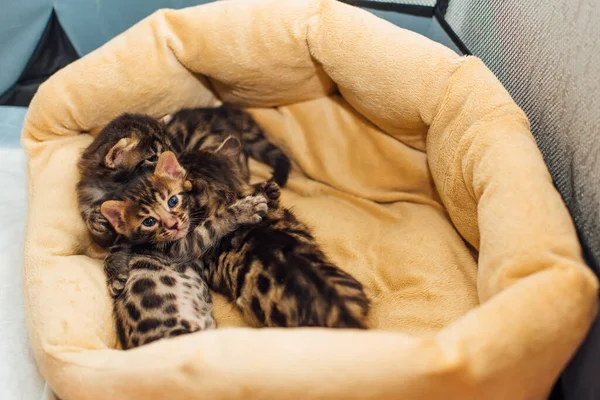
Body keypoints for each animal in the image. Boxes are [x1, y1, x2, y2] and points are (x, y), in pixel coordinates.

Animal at [101, 152, 268, 348]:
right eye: (149, 221)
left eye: (173, 201)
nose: (172, 224)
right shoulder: (180, 248)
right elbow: (211, 225)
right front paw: (244, 210)